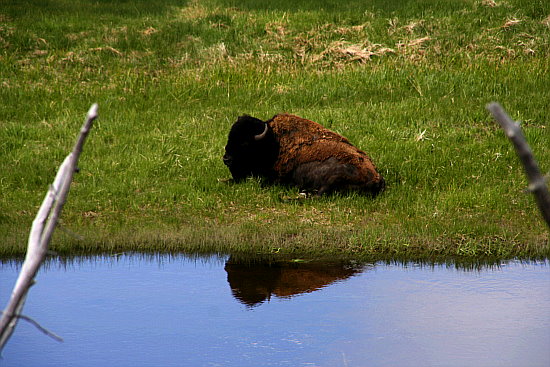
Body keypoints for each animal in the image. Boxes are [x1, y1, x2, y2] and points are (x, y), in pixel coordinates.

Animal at [222, 114, 386, 196]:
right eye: (229, 137)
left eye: (244, 143)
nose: (226, 159)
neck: (273, 141)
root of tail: (377, 178)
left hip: (333, 179)